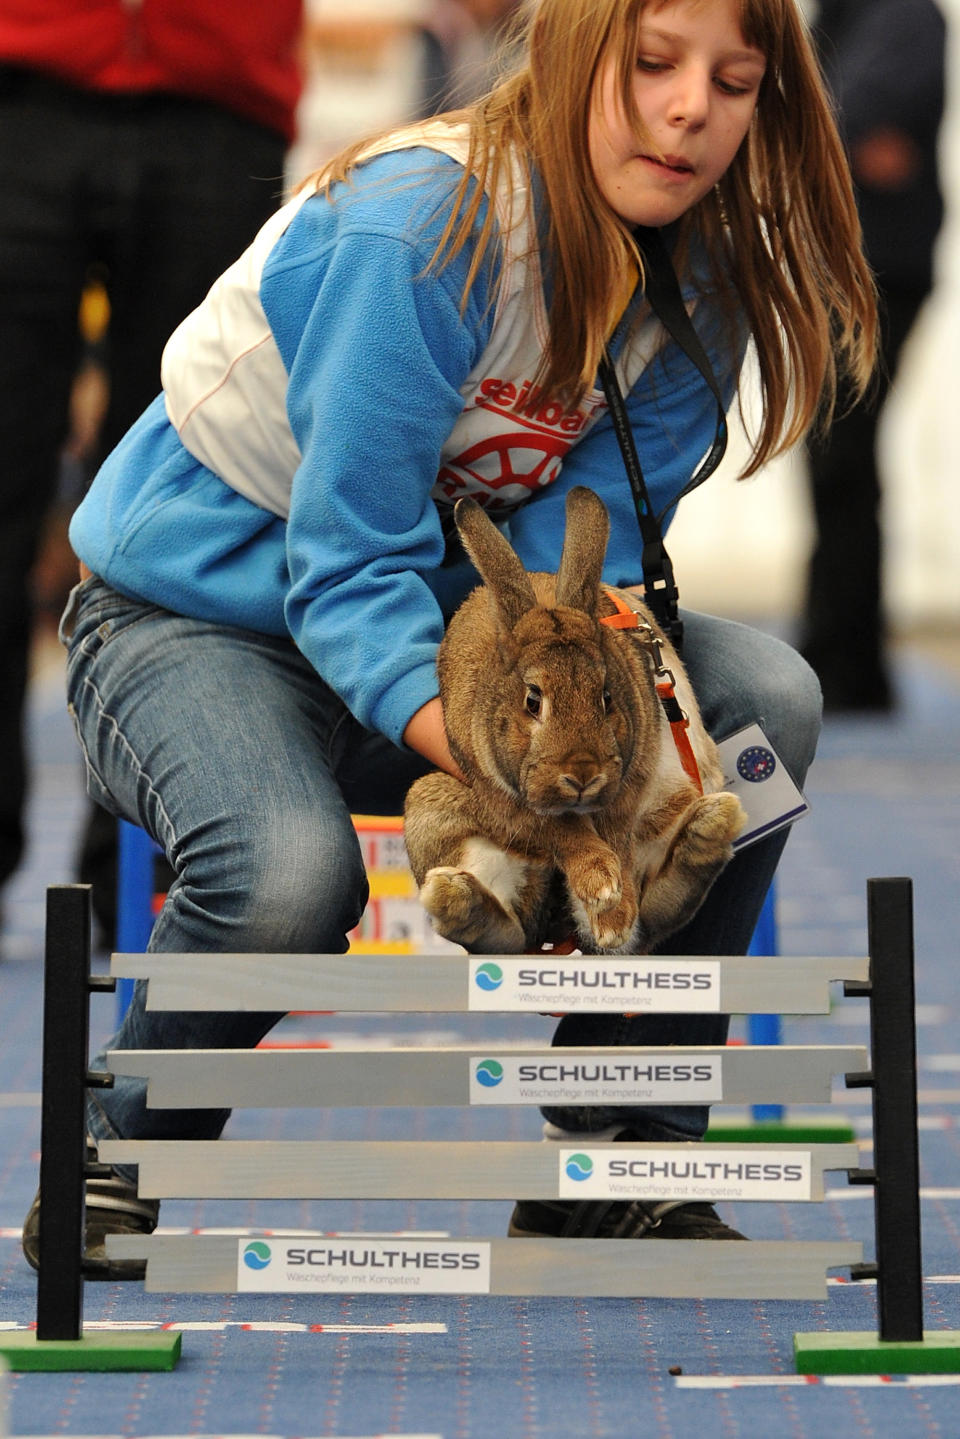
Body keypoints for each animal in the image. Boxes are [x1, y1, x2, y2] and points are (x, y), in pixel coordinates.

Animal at [402, 486, 748, 955]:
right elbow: (562, 829)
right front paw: (600, 885)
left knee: (653, 916)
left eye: (606, 696)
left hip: (677, 797)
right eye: (532, 700)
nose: (583, 773)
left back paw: (703, 834)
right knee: (507, 935)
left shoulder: (628, 786)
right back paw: (455, 897)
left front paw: (612, 911)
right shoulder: (504, 796)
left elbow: (616, 839)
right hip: (433, 810)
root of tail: (554, 929)